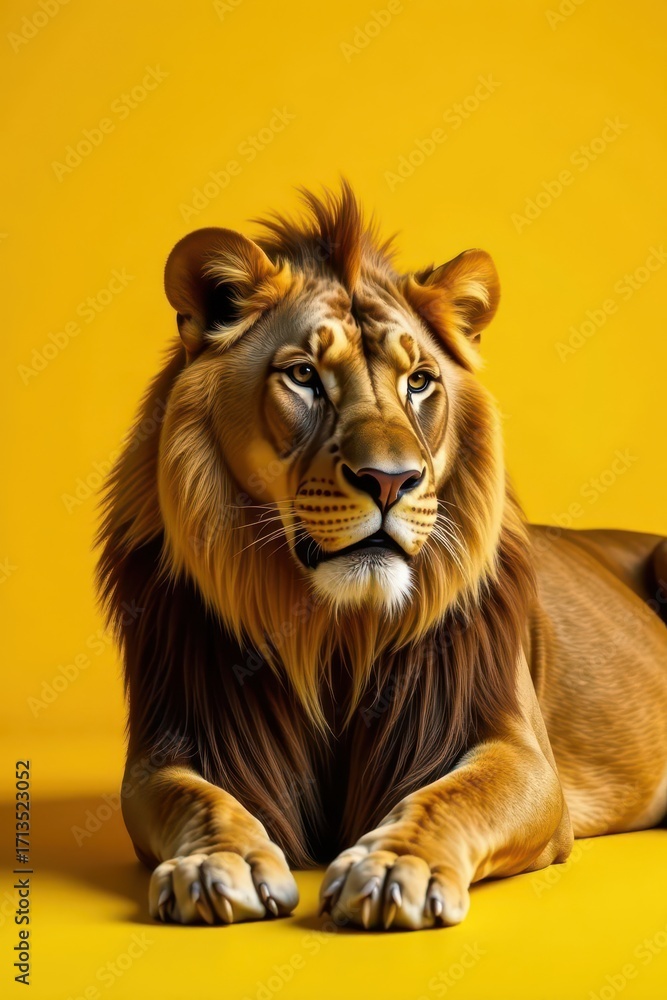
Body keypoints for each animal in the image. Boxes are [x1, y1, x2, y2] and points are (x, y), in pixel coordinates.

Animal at [97, 183, 667, 930]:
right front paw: (219, 862)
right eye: (304, 376)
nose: (391, 481)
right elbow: (197, 797)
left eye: (420, 382)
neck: (337, 632)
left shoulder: (523, 757)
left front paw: (397, 867)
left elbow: (449, 797)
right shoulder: (167, 747)